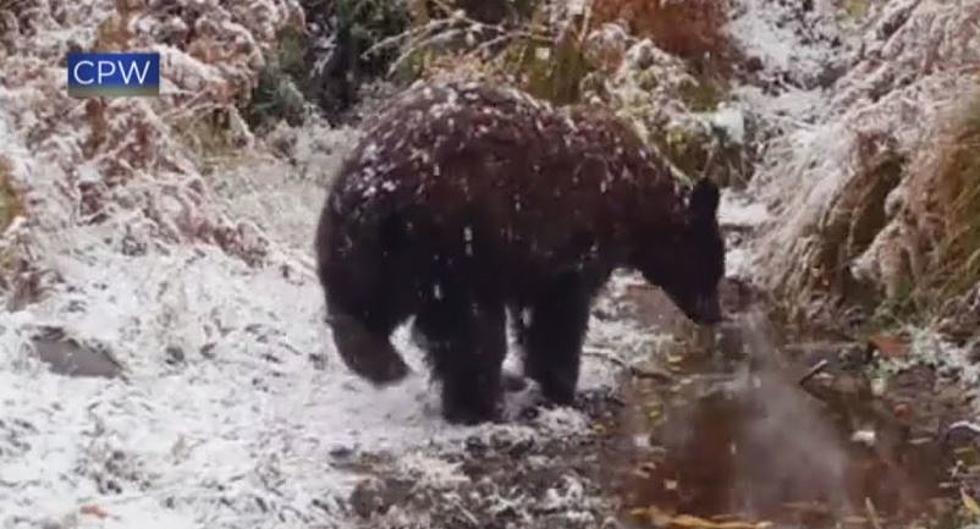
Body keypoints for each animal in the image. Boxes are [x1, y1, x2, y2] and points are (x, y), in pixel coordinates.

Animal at [318, 79, 724, 424]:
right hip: (454, 240)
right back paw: (480, 402)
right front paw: (563, 386)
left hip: (370, 242)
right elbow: (557, 315)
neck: (636, 204)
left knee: (364, 301)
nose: (715, 315)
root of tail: (375, 187)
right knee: (471, 328)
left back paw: (381, 360)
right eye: (715, 266)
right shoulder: (569, 244)